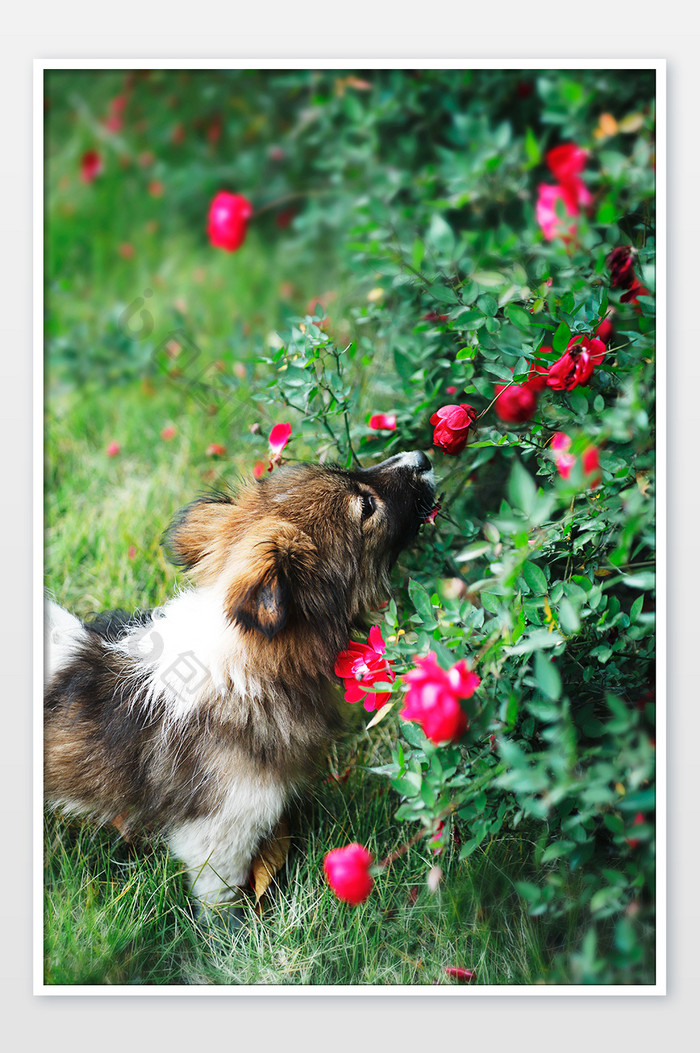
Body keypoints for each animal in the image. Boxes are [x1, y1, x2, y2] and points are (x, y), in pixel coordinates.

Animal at [43, 450, 433, 905]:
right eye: (366, 506)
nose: (422, 457)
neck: (243, 666)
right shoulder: (219, 831)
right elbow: (221, 897)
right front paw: (236, 920)